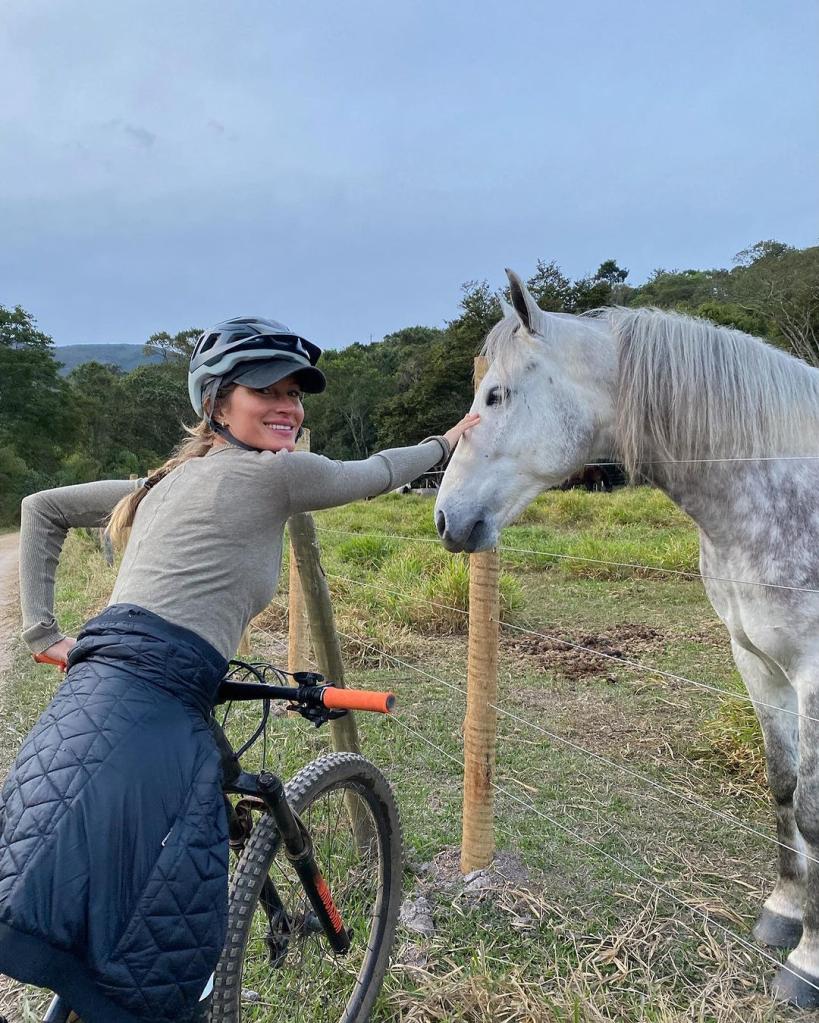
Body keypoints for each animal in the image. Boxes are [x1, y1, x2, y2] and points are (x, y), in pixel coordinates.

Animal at [437, 268, 819, 1010]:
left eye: (496, 394)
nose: (445, 518)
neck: (779, 482)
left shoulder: (814, 673)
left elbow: (814, 810)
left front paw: (809, 965)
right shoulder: (757, 663)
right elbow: (783, 785)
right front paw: (785, 911)